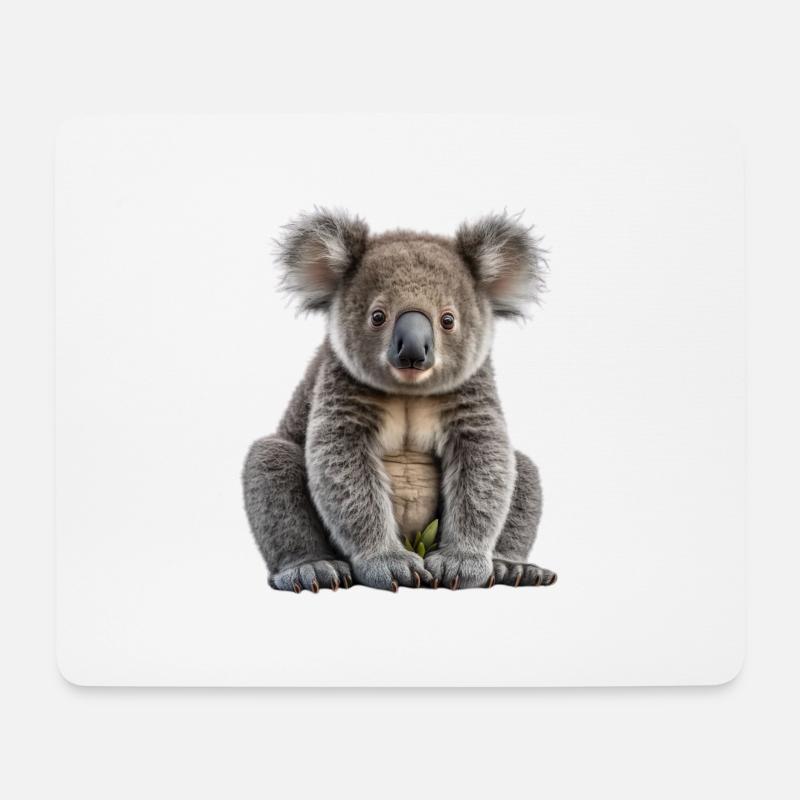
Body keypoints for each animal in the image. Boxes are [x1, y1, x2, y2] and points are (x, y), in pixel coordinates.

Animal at [242, 208, 557, 592]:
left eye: (448, 320)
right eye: (378, 316)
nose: (413, 352)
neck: (410, 391)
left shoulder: (471, 396)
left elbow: (484, 466)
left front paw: (461, 562)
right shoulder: (341, 390)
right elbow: (344, 470)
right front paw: (388, 563)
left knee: (522, 469)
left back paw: (511, 568)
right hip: (278, 473)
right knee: (270, 460)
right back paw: (311, 568)